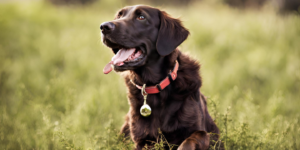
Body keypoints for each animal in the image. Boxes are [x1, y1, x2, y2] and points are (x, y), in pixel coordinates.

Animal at [101, 4, 220, 150]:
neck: (155, 87)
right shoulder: (143, 140)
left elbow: (193, 138)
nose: (104, 26)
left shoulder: (201, 131)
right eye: (119, 15)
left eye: (141, 17)